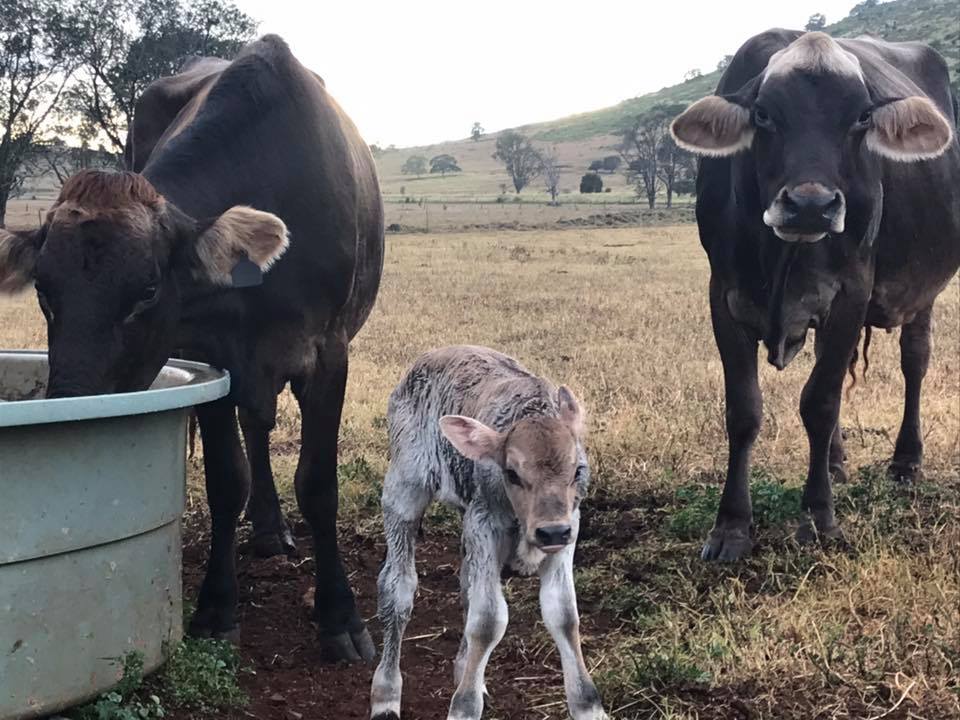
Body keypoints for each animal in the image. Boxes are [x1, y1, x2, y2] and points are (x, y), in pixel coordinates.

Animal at [0, 36, 382, 660]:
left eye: (148, 290)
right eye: (44, 292)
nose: (72, 400)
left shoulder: (328, 353)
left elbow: (318, 484)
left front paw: (340, 618)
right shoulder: (211, 354)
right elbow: (228, 479)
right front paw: (216, 607)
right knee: (255, 428)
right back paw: (268, 528)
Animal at [370, 344, 604, 720]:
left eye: (577, 470)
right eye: (512, 473)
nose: (551, 532)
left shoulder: (569, 528)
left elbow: (564, 615)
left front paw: (588, 705)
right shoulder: (483, 524)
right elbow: (489, 619)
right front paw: (463, 707)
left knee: (465, 582)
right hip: (403, 488)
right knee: (397, 588)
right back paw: (386, 695)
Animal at [668, 32, 960, 564]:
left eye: (861, 117)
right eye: (763, 114)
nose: (811, 205)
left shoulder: (851, 294)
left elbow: (820, 403)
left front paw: (818, 517)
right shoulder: (723, 297)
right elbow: (743, 410)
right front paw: (731, 526)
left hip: (923, 293)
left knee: (915, 362)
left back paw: (906, 461)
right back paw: (837, 462)